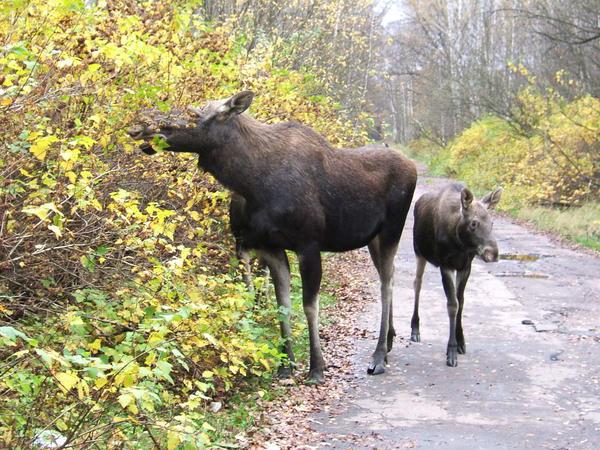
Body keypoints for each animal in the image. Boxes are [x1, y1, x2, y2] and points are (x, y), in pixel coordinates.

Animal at [127, 92, 418, 384]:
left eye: (195, 115)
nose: (139, 127)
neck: (252, 183)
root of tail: (413, 166)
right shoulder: (269, 246)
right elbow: (282, 304)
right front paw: (285, 364)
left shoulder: (308, 244)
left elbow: (309, 306)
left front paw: (316, 367)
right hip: (372, 238)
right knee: (389, 276)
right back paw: (389, 342)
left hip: (392, 229)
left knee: (386, 284)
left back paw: (378, 356)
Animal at [412, 183, 502, 366]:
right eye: (474, 223)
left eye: (492, 222)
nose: (493, 254)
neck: (460, 243)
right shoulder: (445, 265)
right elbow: (452, 304)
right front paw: (451, 350)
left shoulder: (465, 267)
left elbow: (461, 301)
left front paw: (461, 342)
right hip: (419, 252)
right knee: (417, 284)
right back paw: (415, 329)